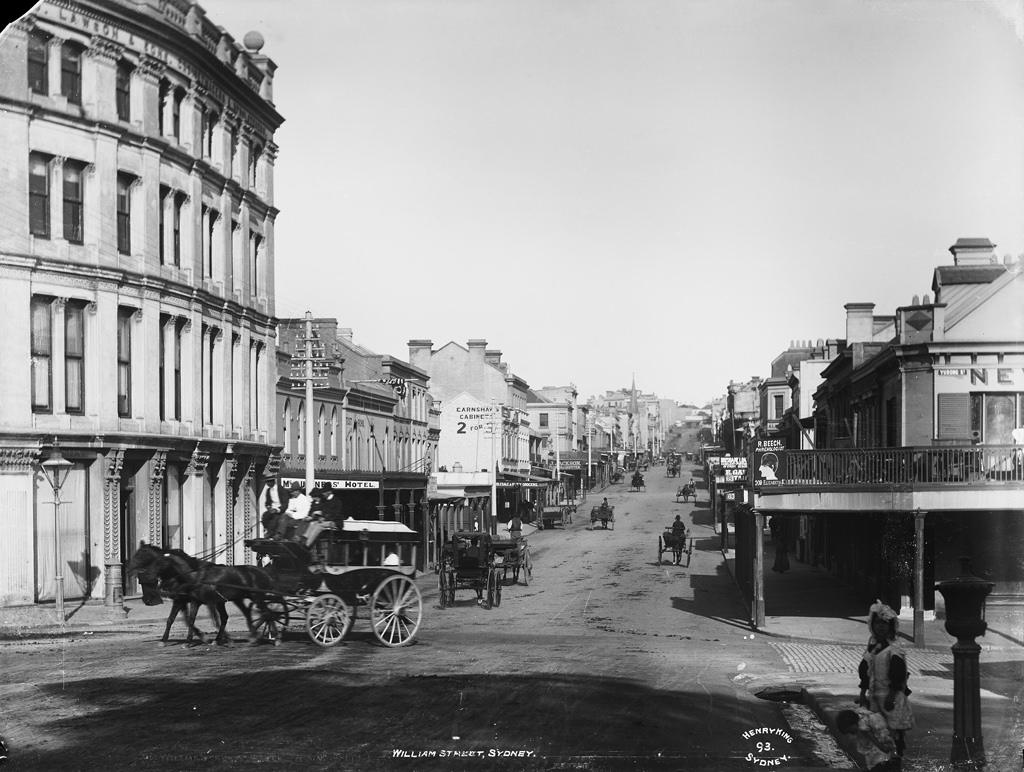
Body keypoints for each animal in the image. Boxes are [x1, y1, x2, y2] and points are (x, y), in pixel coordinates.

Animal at [126, 540, 278, 642]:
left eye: (140, 554)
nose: (128, 569)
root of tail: (262, 571)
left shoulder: (191, 600)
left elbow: (190, 619)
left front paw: (196, 637)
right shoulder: (181, 599)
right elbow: (174, 619)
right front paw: (165, 638)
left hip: (254, 596)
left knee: (265, 613)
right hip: (235, 599)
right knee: (238, 615)